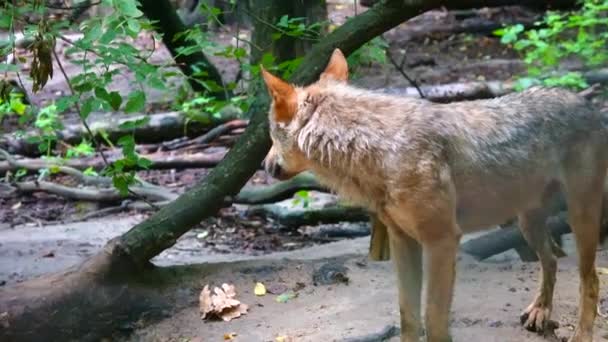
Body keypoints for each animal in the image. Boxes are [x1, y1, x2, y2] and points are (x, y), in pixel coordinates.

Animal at [262, 48, 608, 342]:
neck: (380, 151)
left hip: (580, 219)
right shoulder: (402, 241)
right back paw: (540, 311)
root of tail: (588, 105)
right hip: (527, 223)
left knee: (590, 280)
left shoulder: (442, 241)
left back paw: (581, 335)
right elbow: (408, 317)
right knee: (551, 261)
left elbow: (434, 320)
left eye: (269, 134)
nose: (264, 165)